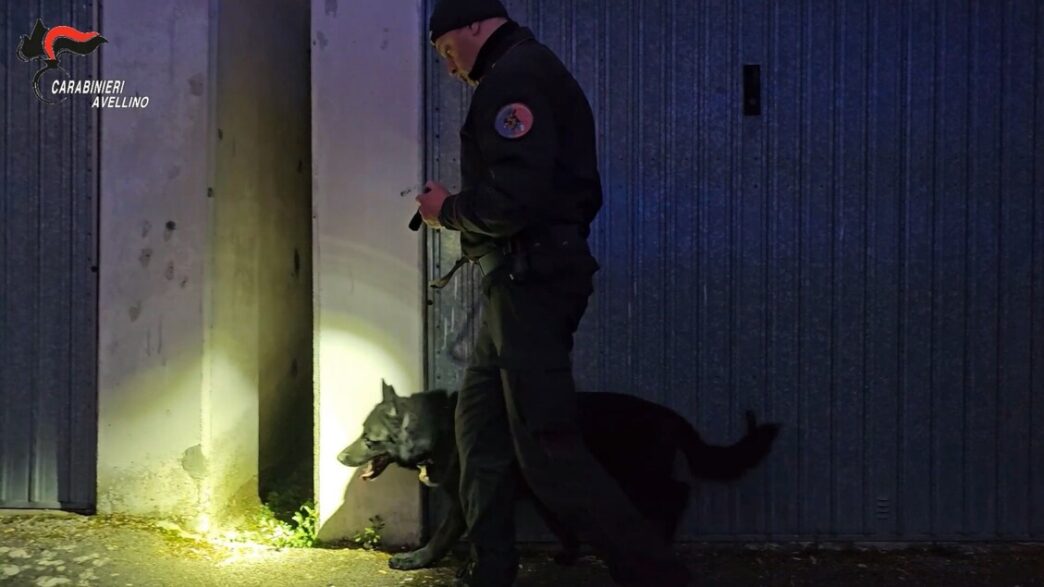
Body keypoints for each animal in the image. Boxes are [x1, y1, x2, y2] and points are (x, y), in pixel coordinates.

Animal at [338, 380, 780, 568]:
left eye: (370, 440)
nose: (340, 456)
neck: (440, 428)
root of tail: (670, 415)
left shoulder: (469, 501)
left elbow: (445, 535)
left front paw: (419, 560)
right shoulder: (532, 491)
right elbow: (558, 521)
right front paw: (569, 552)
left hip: (638, 474)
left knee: (677, 493)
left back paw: (662, 539)